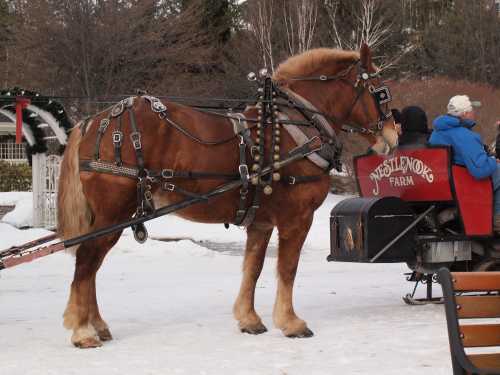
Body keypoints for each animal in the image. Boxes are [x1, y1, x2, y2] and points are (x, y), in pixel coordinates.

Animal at [56, 44, 396, 350]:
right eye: (380, 92)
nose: (392, 135)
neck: (294, 128)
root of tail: (93, 123)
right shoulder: (297, 218)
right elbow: (287, 269)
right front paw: (291, 323)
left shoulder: (260, 222)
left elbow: (253, 268)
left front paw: (249, 319)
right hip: (112, 212)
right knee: (86, 261)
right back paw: (83, 330)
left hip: (115, 216)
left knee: (92, 263)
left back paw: (97, 325)